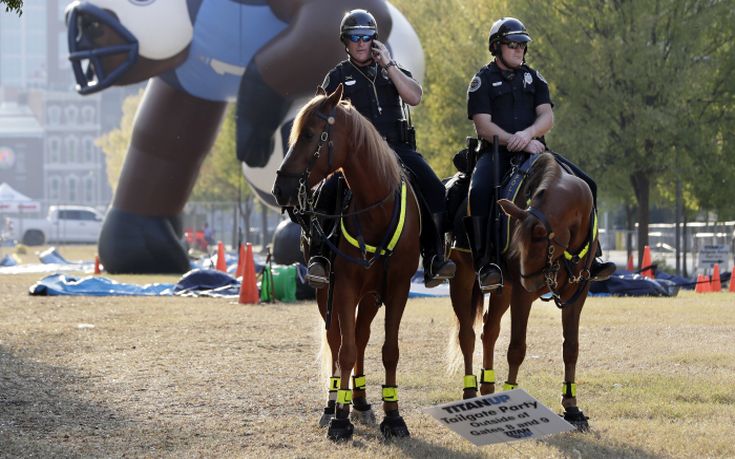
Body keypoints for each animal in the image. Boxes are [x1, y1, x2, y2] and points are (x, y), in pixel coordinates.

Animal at [270, 85, 420, 442]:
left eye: (310, 134)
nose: (280, 188)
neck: (375, 210)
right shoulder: (344, 287)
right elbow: (344, 350)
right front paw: (339, 417)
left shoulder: (397, 288)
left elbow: (388, 350)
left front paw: (393, 416)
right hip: (326, 291)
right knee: (337, 340)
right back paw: (333, 403)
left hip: (370, 297)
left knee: (362, 336)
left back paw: (361, 402)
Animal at [448, 154, 600, 432]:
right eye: (519, 244)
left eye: (540, 243)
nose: (531, 283)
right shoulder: (520, 295)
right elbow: (517, 347)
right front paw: (512, 394)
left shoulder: (577, 293)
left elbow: (571, 347)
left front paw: (571, 406)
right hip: (464, 279)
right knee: (468, 335)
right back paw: (470, 391)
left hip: (504, 290)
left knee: (489, 331)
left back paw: (488, 387)